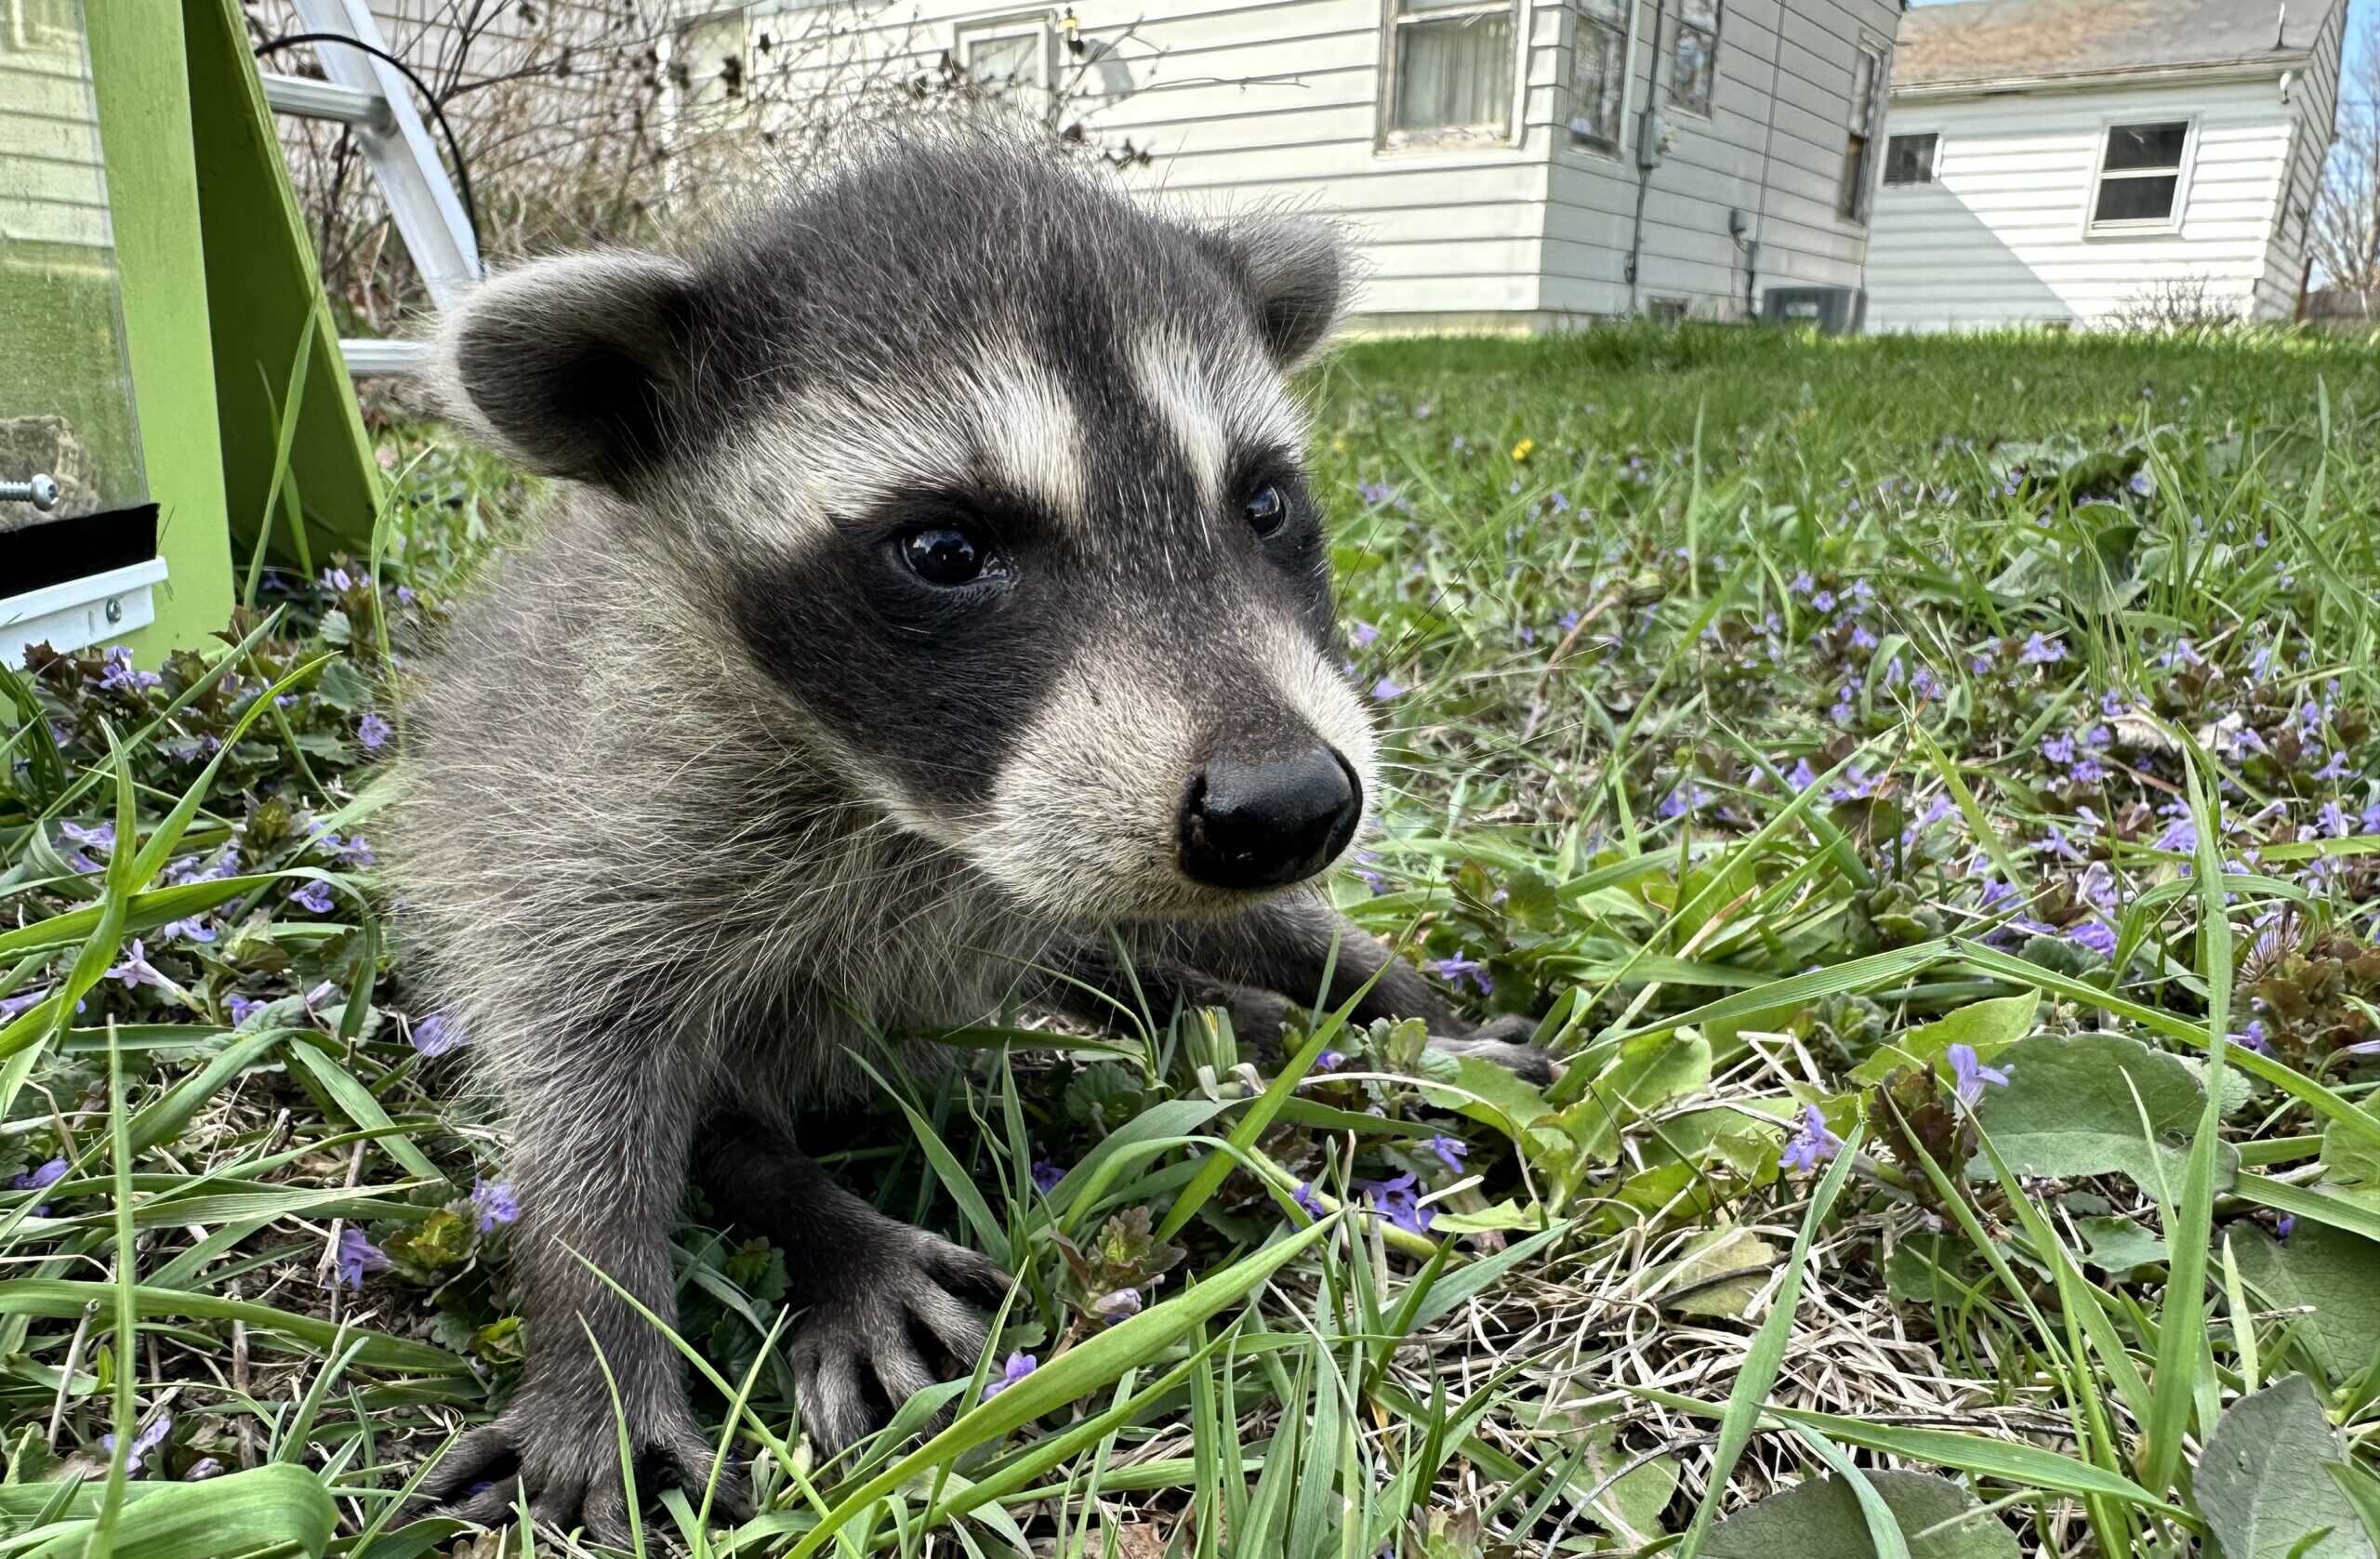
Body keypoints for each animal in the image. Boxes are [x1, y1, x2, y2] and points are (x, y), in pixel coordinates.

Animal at [389, 134, 1552, 1542]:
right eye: (945, 548)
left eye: (1265, 505)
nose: (1287, 809)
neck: (907, 810)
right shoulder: (596, 792)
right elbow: (579, 1045)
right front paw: (598, 1332)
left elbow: (1251, 921)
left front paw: (1396, 998)